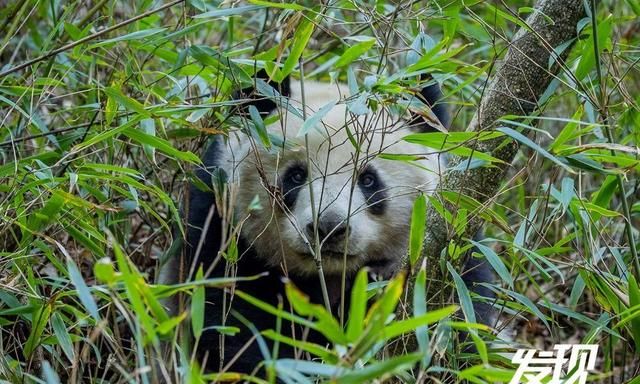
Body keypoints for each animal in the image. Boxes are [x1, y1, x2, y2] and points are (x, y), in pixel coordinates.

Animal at [171, 72, 496, 376]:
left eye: (368, 180)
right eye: (295, 176)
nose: (329, 227)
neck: (330, 277)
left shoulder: (453, 250)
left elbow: (457, 325)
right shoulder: (220, 225)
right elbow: (231, 325)